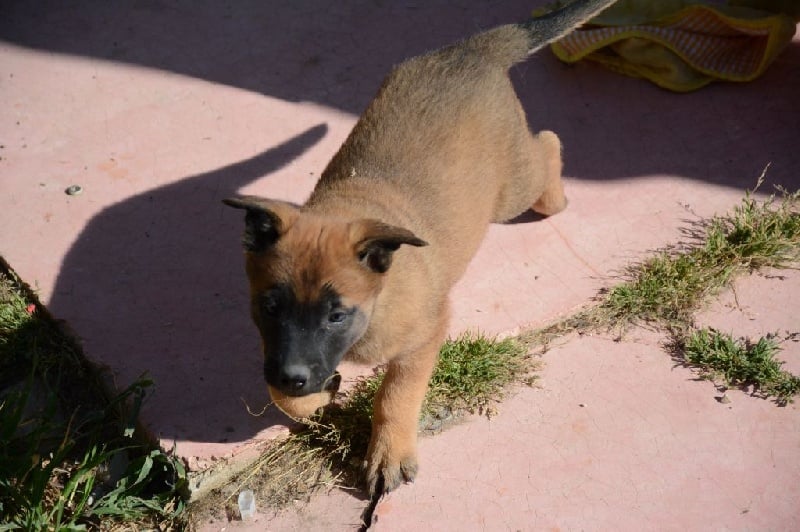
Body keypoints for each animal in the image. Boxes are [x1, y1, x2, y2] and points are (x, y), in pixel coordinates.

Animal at [224, 0, 615, 496]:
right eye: (270, 307)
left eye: (337, 316)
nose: (296, 377)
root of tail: (473, 49)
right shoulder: (276, 350)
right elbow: (283, 395)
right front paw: (313, 397)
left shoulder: (425, 334)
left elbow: (396, 394)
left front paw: (389, 452)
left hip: (512, 190)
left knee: (547, 145)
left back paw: (557, 196)